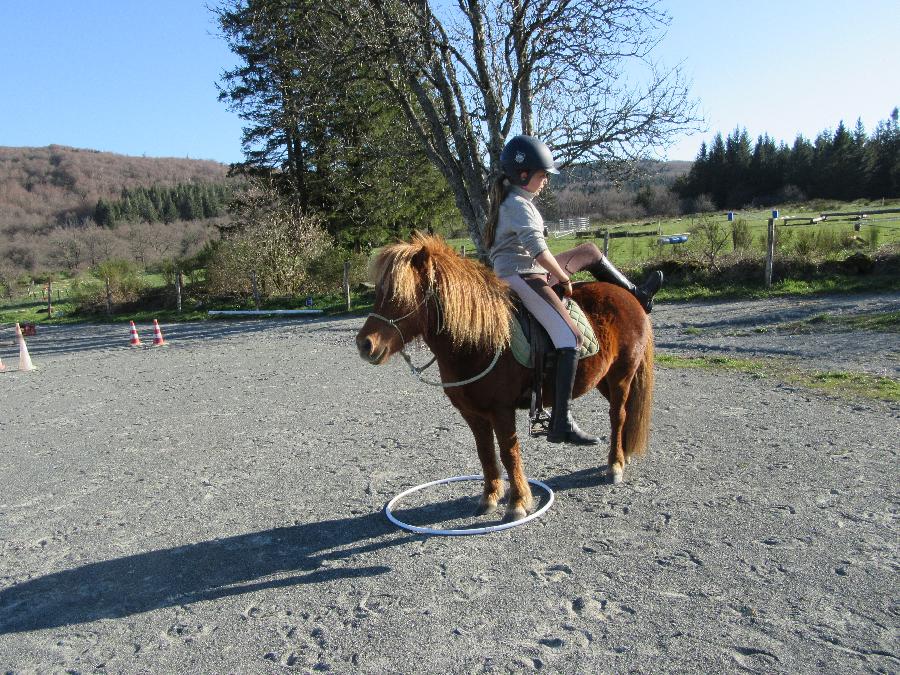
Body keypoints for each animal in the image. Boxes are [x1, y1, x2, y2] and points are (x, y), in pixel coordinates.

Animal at [354, 234, 652, 524]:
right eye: (378, 293)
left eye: (399, 295)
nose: (365, 345)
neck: (479, 340)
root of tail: (628, 296)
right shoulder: (472, 414)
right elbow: (485, 452)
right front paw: (490, 497)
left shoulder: (501, 411)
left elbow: (509, 454)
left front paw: (518, 502)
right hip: (603, 380)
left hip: (621, 376)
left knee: (618, 417)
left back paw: (615, 464)